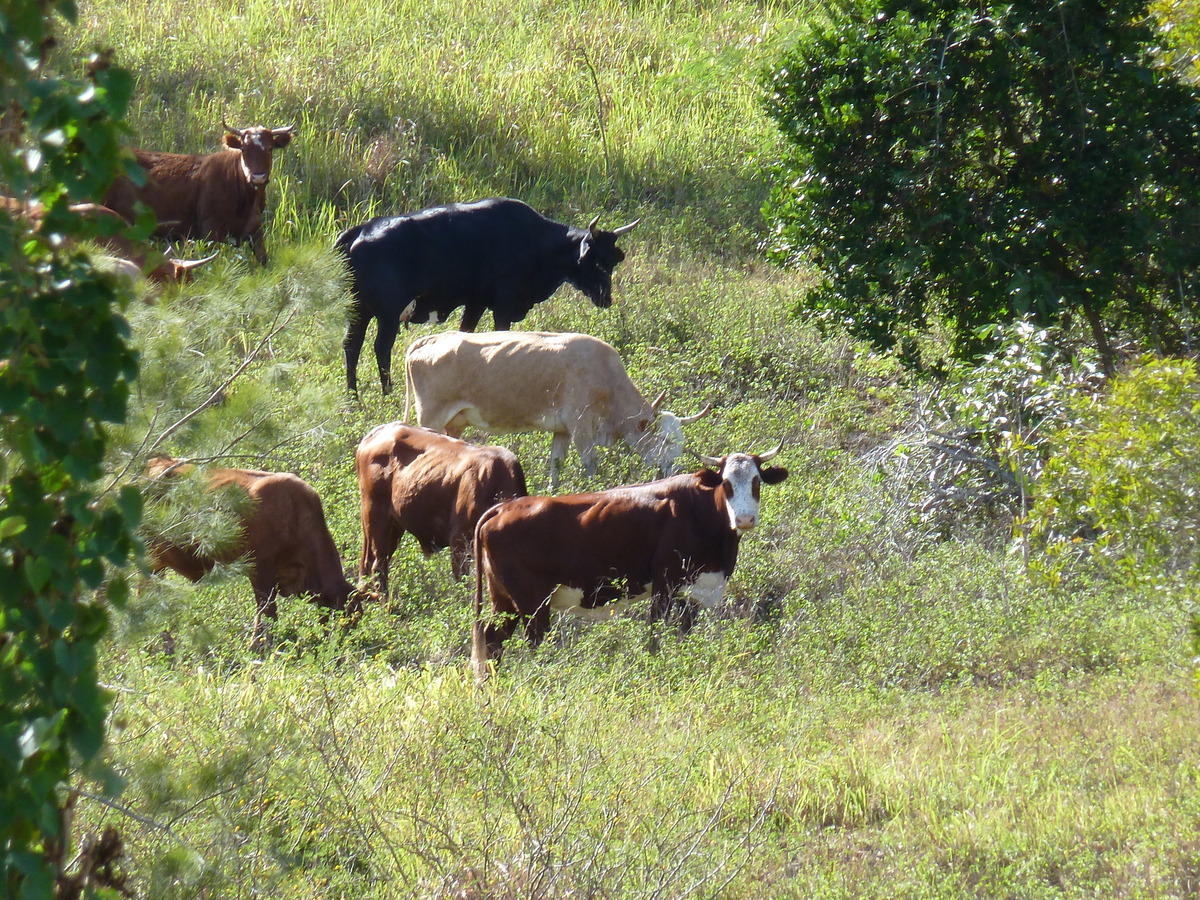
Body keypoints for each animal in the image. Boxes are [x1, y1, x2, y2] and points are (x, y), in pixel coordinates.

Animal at [105, 121, 297, 266]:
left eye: (270, 148)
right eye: (243, 150)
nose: (258, 177)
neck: (246, 203)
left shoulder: (255, 229)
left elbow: (263, 261)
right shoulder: (210, 230)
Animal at [333, 199, 638, 396]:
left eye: (612, 261)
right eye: (595, 260)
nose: (606, 298)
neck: (535, 240)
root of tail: (361, 230)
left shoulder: (475, 304)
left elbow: (464, 336)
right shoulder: (502, 306)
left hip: (360, 311)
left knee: (352, 345)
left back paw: (352, 397)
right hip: (387, 314)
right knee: (380, 347)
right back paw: (387, 393)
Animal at [352, 424, 528, 595]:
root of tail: (376, 433)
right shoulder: (459, 541)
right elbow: (462, 582)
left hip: (393, 526)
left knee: (368, 565)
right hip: (377, 517)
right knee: (377, 566)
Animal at [468, 444, 787, 676]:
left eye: (756, 481)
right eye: (726, 483)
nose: (745, 519)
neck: (701, 511)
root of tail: (504, 507)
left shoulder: (694, 591)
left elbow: (684, 635)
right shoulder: (664, 583)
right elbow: (655, 633)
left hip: (503, 599)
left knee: (493, 640)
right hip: (532, 601)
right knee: (534, 640)